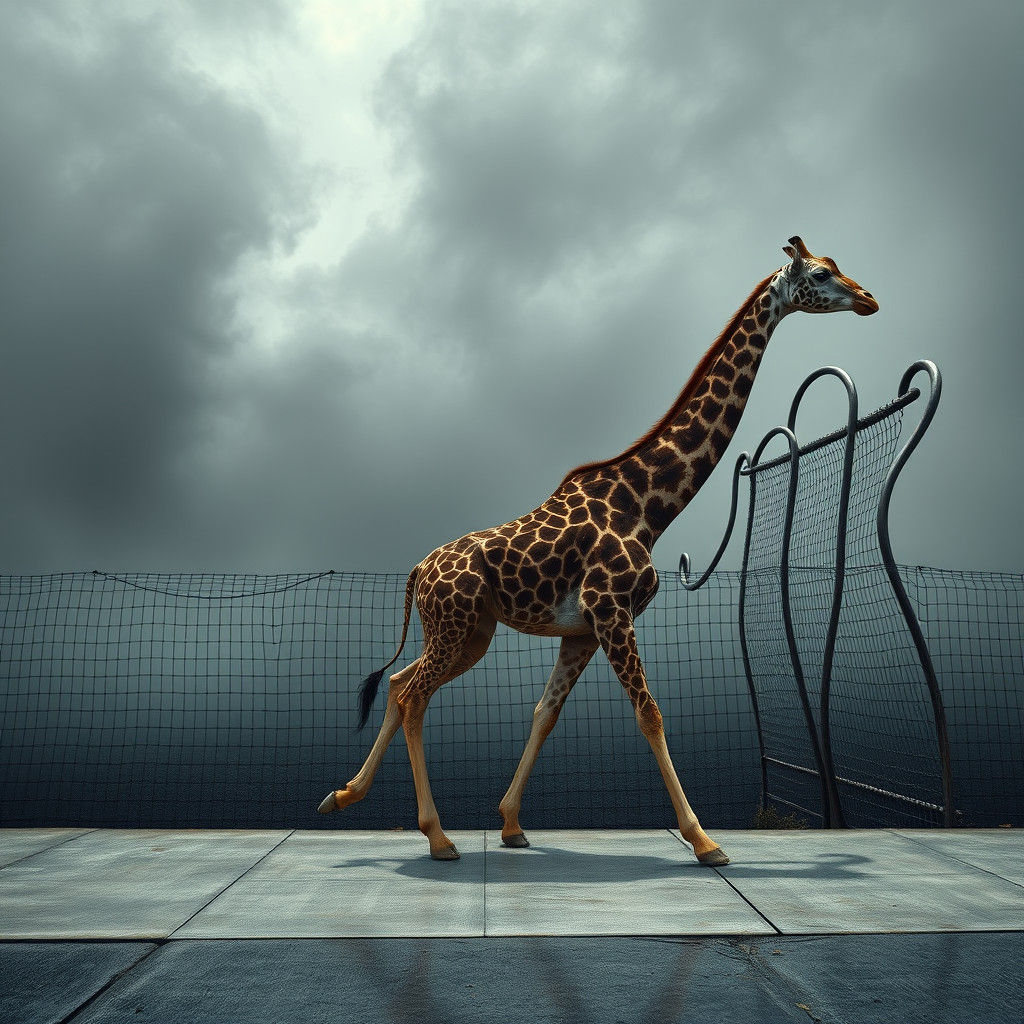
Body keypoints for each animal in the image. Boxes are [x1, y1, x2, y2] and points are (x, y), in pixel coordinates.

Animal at [318, 236, 878, 863]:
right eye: (822, 272)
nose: (869, 298)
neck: (649, 506)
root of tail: (418, 570)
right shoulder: (611, 611)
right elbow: (650, 714)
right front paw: (704, 840)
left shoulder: (584, 630)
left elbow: (545, 713)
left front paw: (511, 824)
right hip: (454, 623)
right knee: (415, 694)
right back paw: (437, 837)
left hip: (469, 631)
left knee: (397, 685)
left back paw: (343, 795)